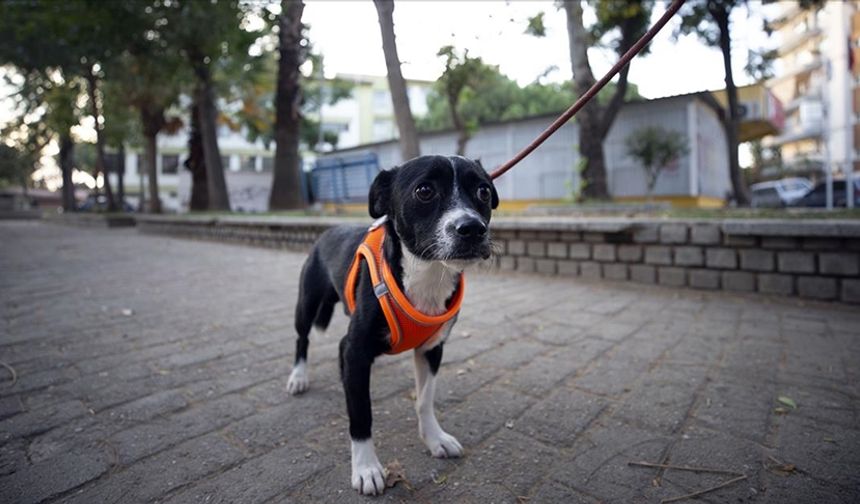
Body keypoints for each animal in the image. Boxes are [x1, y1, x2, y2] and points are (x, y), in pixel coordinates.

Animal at [288, 156, 498, 494]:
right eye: (424, 190)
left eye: (483, 191)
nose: (472, 228)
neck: (426, 275)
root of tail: (329, 229)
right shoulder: (356, 349)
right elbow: (361, 413)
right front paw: (367, 468)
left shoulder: (432, 349)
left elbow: (425, 399)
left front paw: (435, 439)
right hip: (307, 303)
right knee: (302, 339)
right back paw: (298, 377)